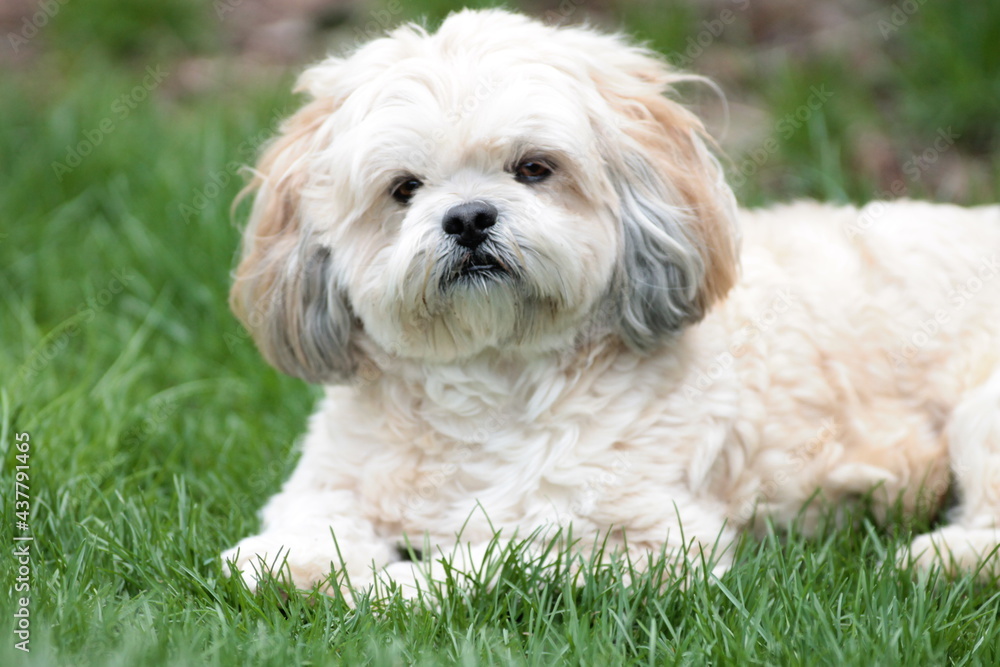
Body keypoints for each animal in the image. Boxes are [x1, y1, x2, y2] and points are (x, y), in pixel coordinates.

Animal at [223, 9, 1000, 596]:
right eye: (404, 188)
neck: (491, 385)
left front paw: (394, 587)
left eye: (534, 168)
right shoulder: (333, 476)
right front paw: (291, 563)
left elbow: (494, 561)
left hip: (980, 413)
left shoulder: (652, 541)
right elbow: (300, 527)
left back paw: (935, 556)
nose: (469, 217)